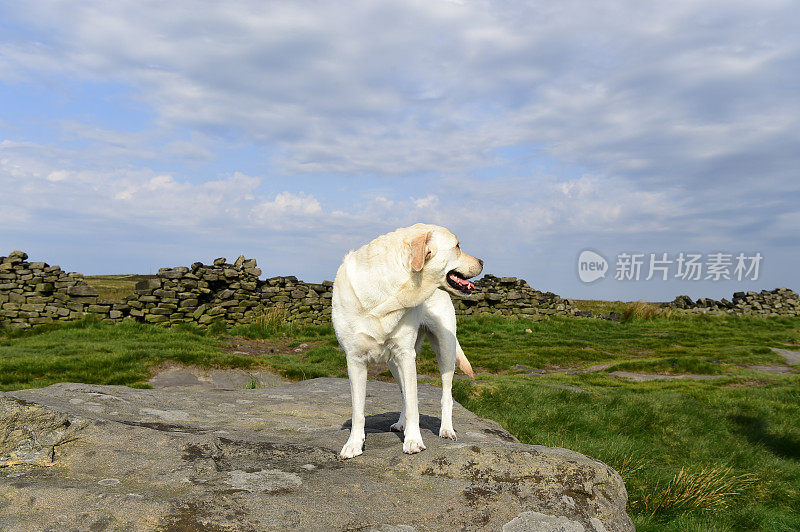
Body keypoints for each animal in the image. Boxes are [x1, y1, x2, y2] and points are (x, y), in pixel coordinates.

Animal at [330, 223, 482, 458]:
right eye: (457, 246)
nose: (482, 262)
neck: (385, 294)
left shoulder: (406, 355)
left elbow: (414, 405)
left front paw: (413, 441)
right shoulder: (355, 360)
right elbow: (358, 410)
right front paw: (354, 444)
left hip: (445, 350)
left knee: (446, 394)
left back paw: (446, 429)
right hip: (393, 363)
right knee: (403, 393)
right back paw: (401, 423)